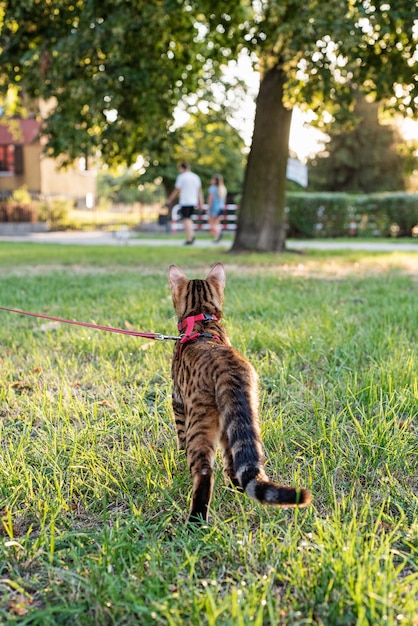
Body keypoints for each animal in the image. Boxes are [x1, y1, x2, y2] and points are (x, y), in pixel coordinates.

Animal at [168, 260, 312, 524]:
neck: (201, 318)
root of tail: (228, 366)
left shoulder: (177, 399)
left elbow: (179, 435)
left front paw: (179, 453)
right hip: (241, 416)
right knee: (236, 461)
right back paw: (236, 489)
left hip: (200, 421)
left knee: (204, 470)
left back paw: (195, 520)